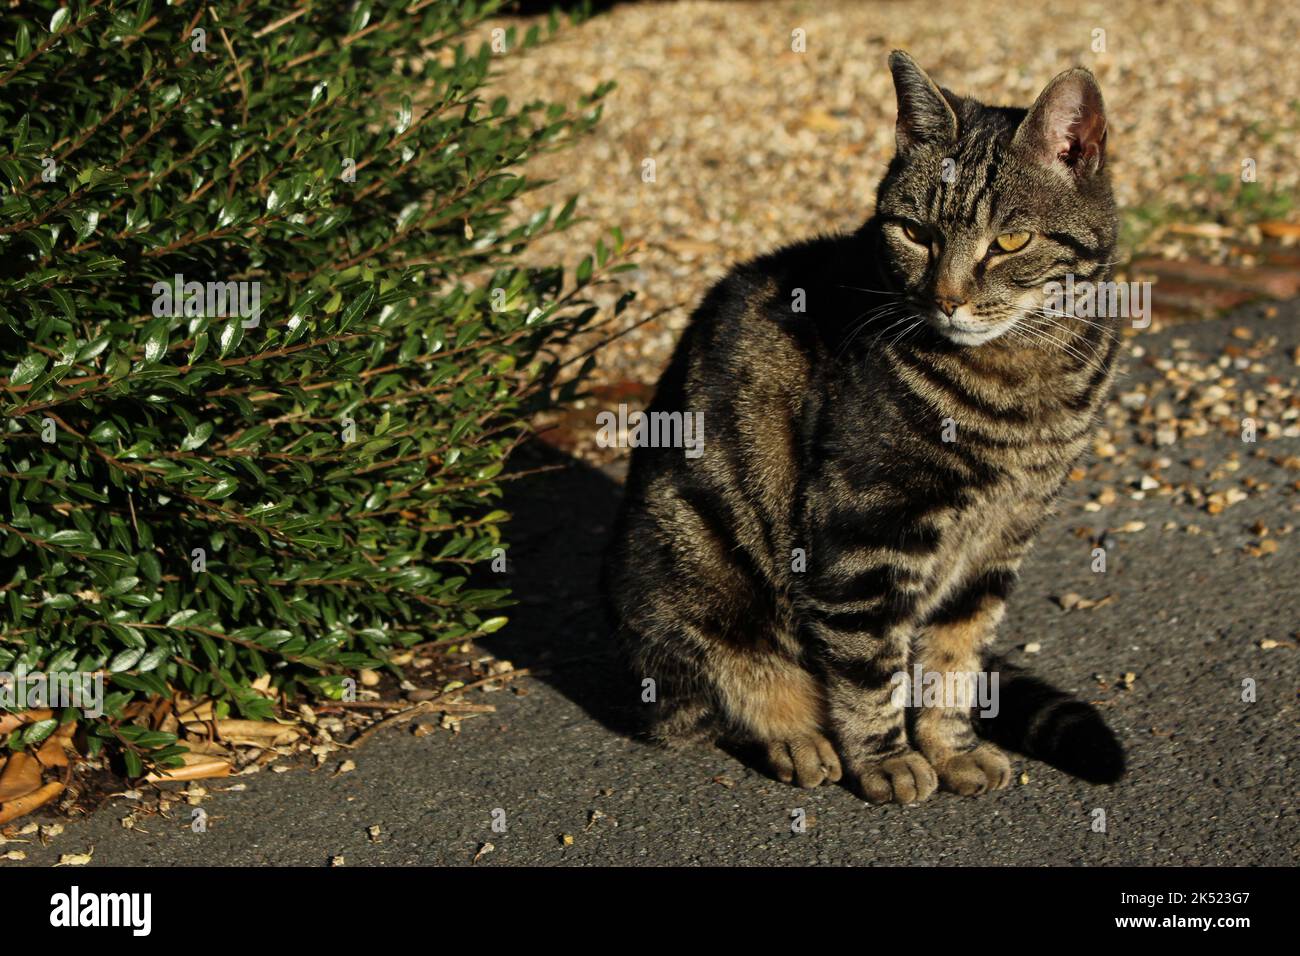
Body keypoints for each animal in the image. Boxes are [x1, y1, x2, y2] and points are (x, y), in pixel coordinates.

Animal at [603, 50, 1123, 801]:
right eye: (916, 233)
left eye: (1010, 241)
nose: (947, 298)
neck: (1020, 379)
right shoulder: (863, 536)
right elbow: (868, 670)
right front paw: (886, 761)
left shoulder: (999, 544)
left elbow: (952, 663)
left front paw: (951, 746)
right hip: (688, 572)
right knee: (722, 698)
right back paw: (797, 739)